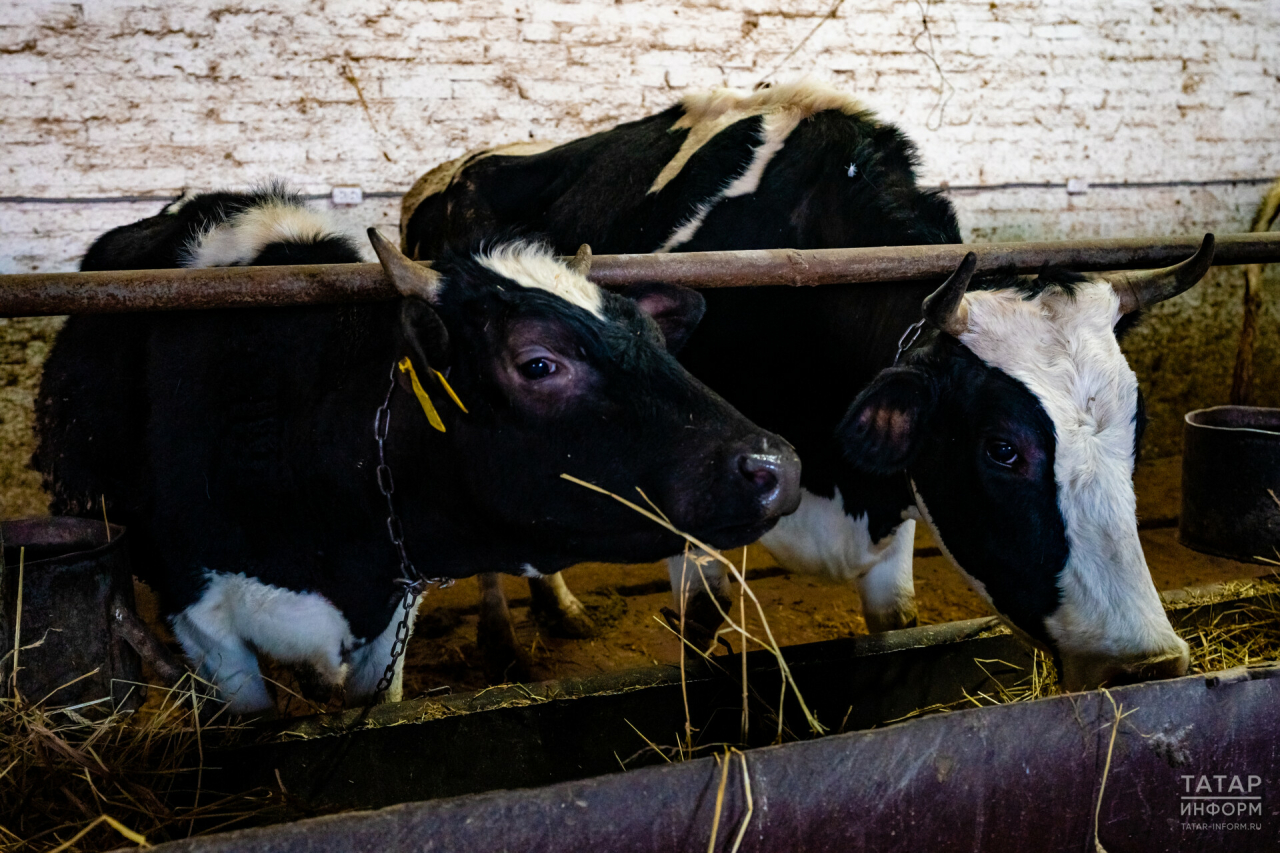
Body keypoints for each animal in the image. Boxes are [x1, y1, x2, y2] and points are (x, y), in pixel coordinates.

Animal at [401, 78, 1198, 691]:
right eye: (1003, 449)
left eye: (1138, 432)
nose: (1147, 662)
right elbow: (698, 632)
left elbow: (894, 626)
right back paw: (503, 642)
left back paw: (559, 610)